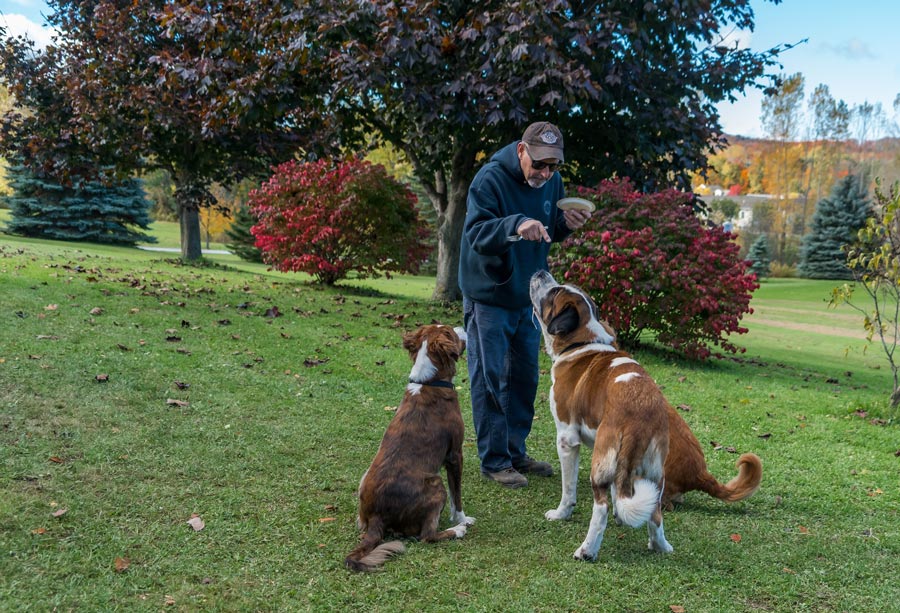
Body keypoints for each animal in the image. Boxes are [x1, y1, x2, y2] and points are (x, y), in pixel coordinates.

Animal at [344, 322, 474, 572]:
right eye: (450, 333)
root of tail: (377, 515)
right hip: (435, 484)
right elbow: (457, 495)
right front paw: (462, 519)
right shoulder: (455, 454)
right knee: (427, 536)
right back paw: (457, 531)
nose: (462, 325)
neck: (430, 382)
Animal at [532, 272, 764, 560]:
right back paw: (660, 546)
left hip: (601, 462)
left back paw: (587, 550)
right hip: (655, 472)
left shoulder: (566, 439)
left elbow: (569, 488)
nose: (540, 273)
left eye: (554, 292)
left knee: (601, 507)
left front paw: (561, 513)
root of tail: (639, 415)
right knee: (654, 512)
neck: (583, 342)